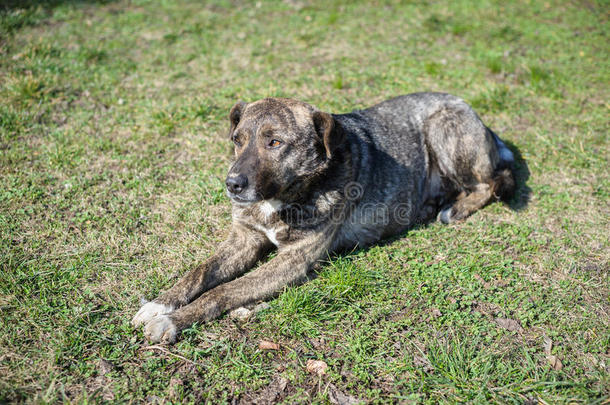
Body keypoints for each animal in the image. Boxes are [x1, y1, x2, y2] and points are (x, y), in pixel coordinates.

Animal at [133, 91, 512, 340]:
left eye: (274, 142)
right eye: (237, 140)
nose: (232, 184)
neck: (284, 197)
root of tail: (479, 118)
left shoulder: (292, 260)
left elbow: (223, 291)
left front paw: (175, 321)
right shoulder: (245, 238)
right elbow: (199, 272)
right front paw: (161, 304)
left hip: (443, 129)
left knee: (493, 182)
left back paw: (455, 207)